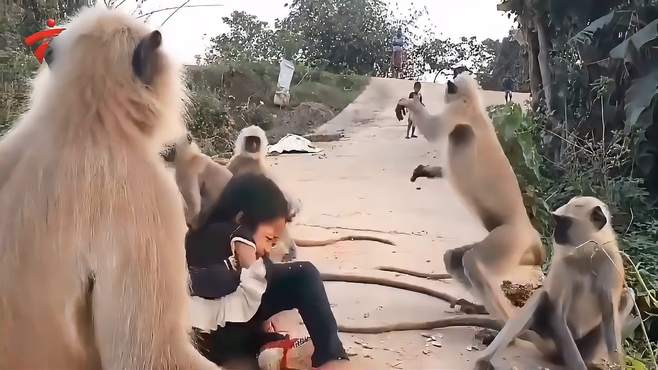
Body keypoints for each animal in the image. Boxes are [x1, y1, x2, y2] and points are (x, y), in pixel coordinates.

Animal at [394, 74, 544, 318]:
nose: (447, 86)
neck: (473, 104)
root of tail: (532, 235)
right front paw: (426, 171)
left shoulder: (460, 110)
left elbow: (434, 130)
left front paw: (409, 103)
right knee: (454, 259)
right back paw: (480, 309)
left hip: (510, 240)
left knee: (472, 262)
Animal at [472, 198, 632, 370]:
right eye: (558, 220)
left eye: (565, 222)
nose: (556, 232)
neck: (587, 255)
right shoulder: (562, 264)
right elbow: (558, 313)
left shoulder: (612, 262)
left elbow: (609, 316)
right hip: (549, 342)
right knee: (541, 296)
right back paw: (484, 359)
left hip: (588, 347)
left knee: (629, 294)